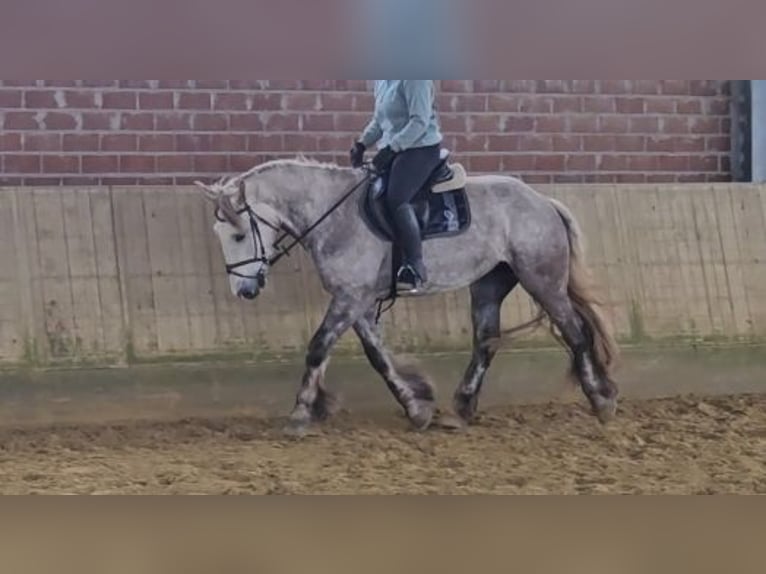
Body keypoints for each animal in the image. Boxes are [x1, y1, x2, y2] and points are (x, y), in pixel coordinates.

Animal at [195, 153, 620, 435]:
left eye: (238, 235)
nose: (245, 289)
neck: (335, 215)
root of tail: (543, 202)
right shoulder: (358, 301)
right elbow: (378, 356)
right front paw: (416, 406)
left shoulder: (350, 297)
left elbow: (318, 348)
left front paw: (300, 413)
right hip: (490, 284)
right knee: (486, 341)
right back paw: (460, 410)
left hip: (542, 280)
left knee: (576, 333)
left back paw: (601, 402)